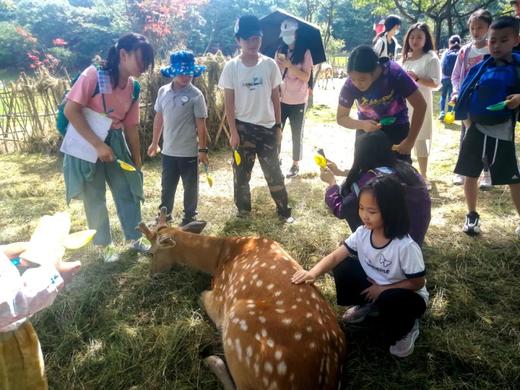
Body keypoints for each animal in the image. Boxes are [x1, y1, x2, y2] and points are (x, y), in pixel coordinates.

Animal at [140, 209, 348, 390]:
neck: (219, 258)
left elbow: (201, 295)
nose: (151, 275)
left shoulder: (219, 299)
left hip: (240, 325)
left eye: (150, 253)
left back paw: (211, 359)